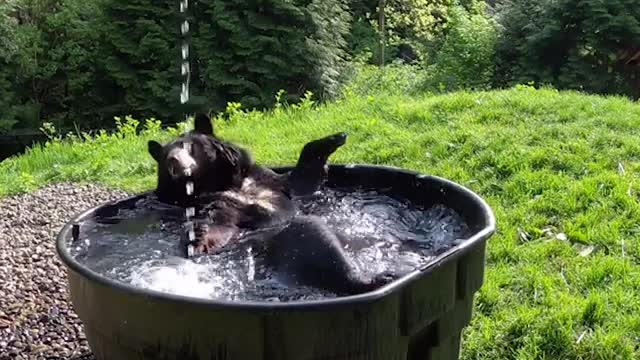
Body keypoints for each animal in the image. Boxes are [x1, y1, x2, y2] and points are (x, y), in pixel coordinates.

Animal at [148, 113, 396, 296]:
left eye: (188, 146)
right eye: (166, 156)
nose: (174, 161)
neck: (220, 181)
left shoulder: (269, 181)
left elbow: (301, 181)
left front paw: (335, 137)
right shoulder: (209, 202)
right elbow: (219, 223)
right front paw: (196, 235)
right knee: (317, 239)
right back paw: (374, 279)